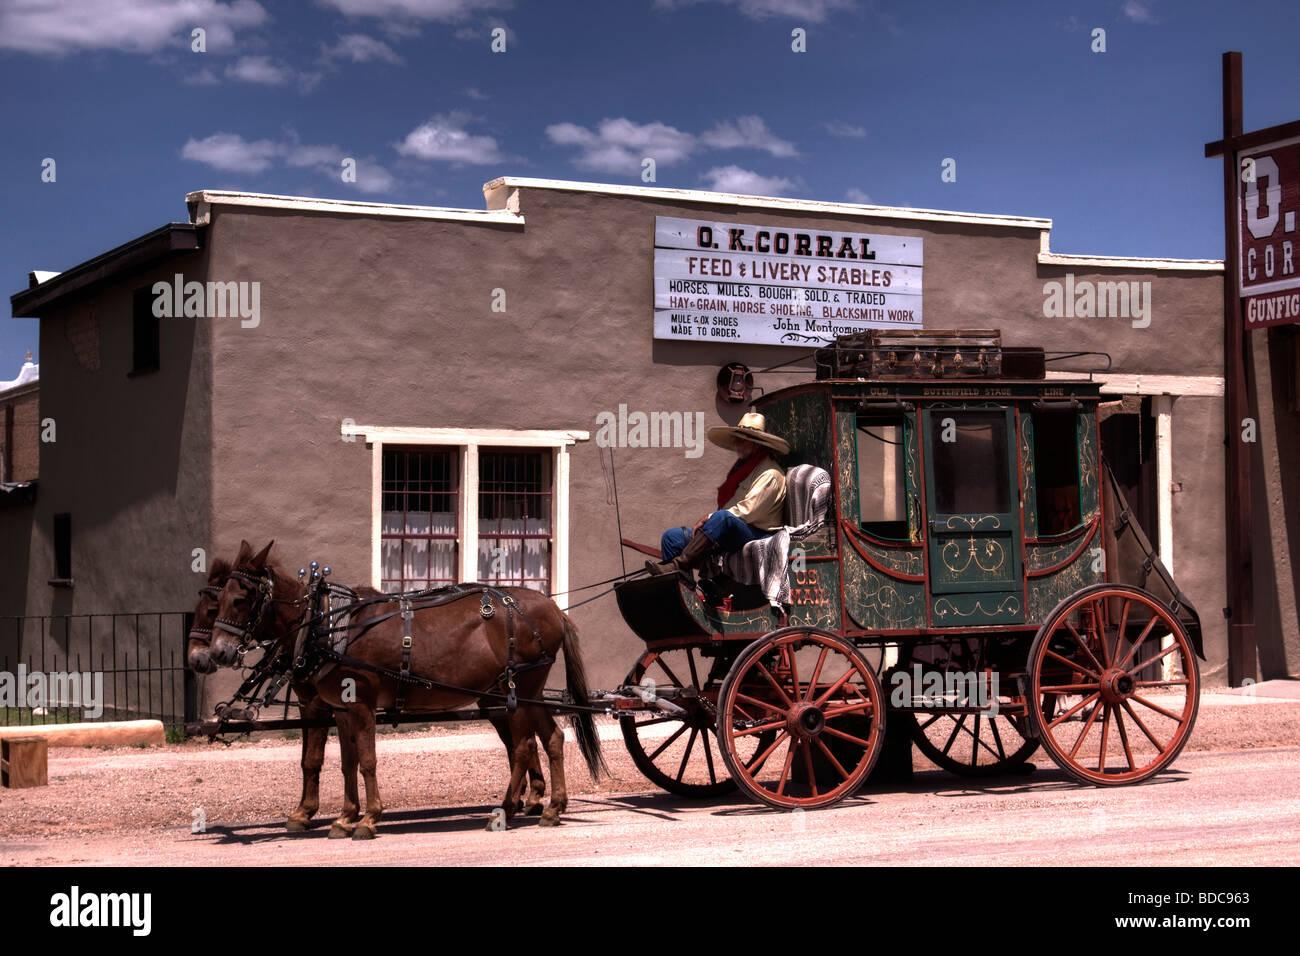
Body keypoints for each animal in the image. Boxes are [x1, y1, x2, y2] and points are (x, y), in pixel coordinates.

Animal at [208, 541, 603, 832]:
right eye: (216, 601)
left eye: (240, 600)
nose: (216, 652)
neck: (330, 628)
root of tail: (553, 609)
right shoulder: (340, 708)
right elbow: (347, 762)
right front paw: (345, 817)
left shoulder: (361, 703)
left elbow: (367, 760)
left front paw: (368, 818)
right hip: (524, 693)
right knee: (551, 739)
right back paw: (551, 807)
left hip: (519, 687)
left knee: (523, 746)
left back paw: (511, 808)